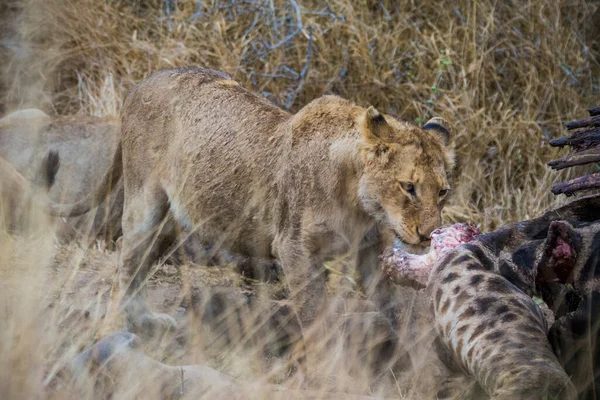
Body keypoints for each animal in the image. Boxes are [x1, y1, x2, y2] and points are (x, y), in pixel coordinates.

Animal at [51, 66, 454, 356]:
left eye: (443, 191)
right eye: (408, 187)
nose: (427, 235)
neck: (360, 204)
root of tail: (140, 85)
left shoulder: (370, 249)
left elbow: (392, 306)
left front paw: (408, 353)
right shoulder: (294, 247)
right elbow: (315, 314)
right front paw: (326, 364)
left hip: (167, 218)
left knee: (142, 260)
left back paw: (146, 320)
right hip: (144, 203)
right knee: (127, 258)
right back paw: (115, 330)